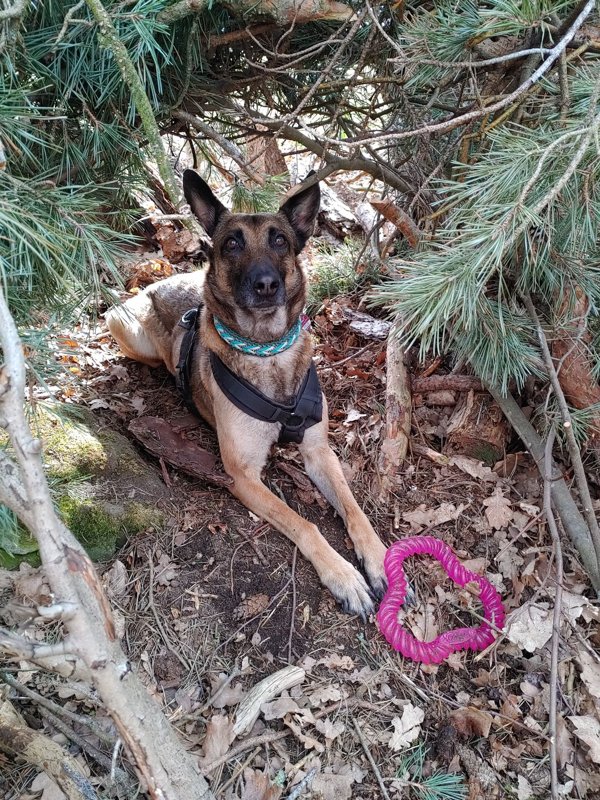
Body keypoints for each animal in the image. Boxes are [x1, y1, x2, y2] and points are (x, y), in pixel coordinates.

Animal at [106, 172, 390, 616]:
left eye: (280, 241)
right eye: (232, 243)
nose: (266, 284)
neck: (268, 351)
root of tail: (162, 278)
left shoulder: (319, 452)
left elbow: (354, 509)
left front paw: (378, 558)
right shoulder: (242, 476)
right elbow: (305, 524)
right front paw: (343, 575)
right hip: (122, 326)